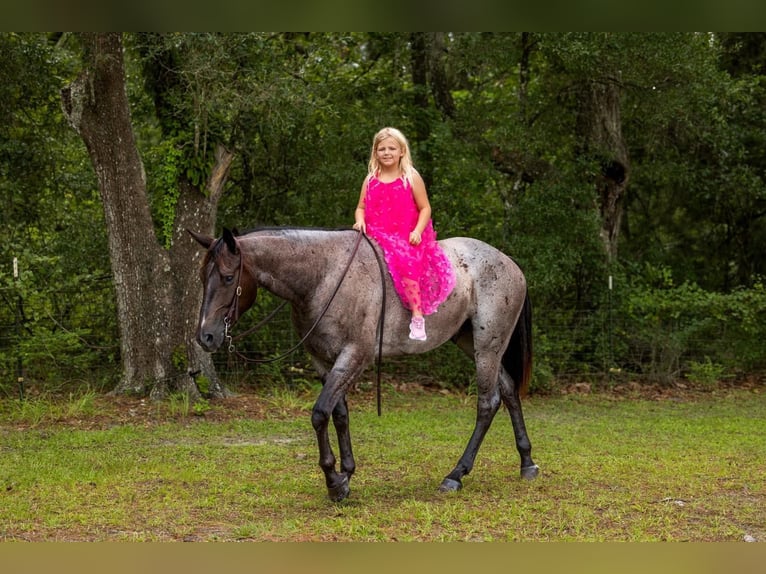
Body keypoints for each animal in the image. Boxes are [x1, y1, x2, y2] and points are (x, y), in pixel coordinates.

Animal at [189, 226, 539, 502]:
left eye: (228, 277)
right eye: (202, 277)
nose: (206, 336)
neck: (323, 277)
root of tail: (512, 266)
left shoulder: (354, 356)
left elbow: (320, 414)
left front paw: (333, 482)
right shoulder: (324, 362)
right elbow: (339, 415)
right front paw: (346, 475)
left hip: (487, 346)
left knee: (488, 403)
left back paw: (456, 474)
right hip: (473, 344)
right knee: (509, 390)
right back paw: (527, 462)